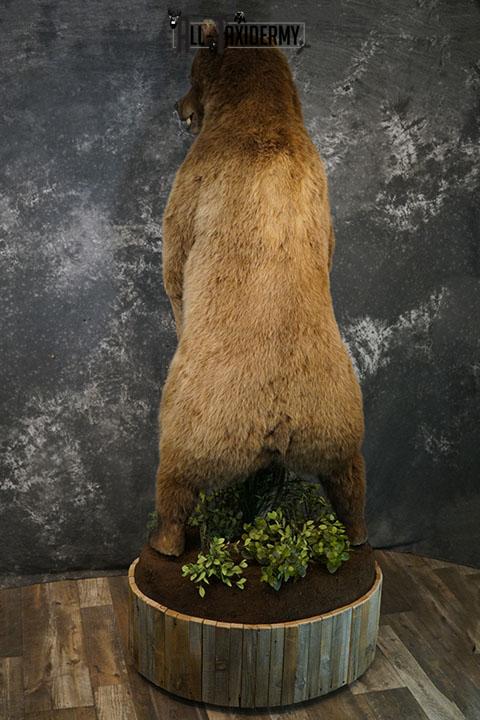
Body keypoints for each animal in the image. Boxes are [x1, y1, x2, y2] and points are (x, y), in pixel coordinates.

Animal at [149, 20, 367, 557]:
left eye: (193, 74)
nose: (179, 107)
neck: (260, 114)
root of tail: (278, 422)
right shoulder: (322, 190)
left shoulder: (195, 177)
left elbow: (175, 260)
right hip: (337, 416)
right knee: (350, 476)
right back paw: (355, 533)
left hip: (199, 419)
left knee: (177, 476)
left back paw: (166, 540)